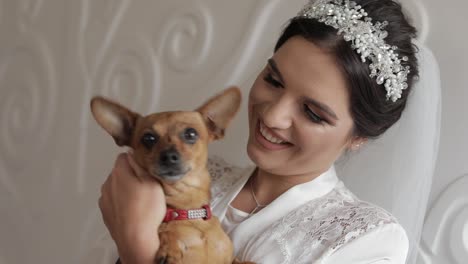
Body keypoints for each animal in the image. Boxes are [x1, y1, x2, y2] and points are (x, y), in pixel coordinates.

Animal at [90, 88, 254, 264]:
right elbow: (164, 229)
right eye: (148, 138)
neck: (188, 211)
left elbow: (238, 261)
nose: (168, 156)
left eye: (191, 134)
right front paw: (170, 247)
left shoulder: (229, 259)